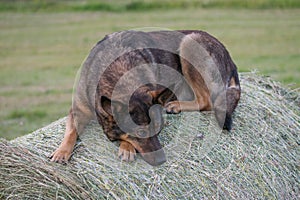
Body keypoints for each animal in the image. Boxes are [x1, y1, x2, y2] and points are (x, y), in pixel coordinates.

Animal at [49, 29, 241, 166]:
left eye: (159, 129)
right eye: (140, 133)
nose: (162, 160)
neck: (117, 73)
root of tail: (231, 59)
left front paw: (127, 148)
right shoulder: (78, 110)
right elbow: (71, 131)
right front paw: (62, 151)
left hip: (189, 44)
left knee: (206, 101)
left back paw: (177, 104)